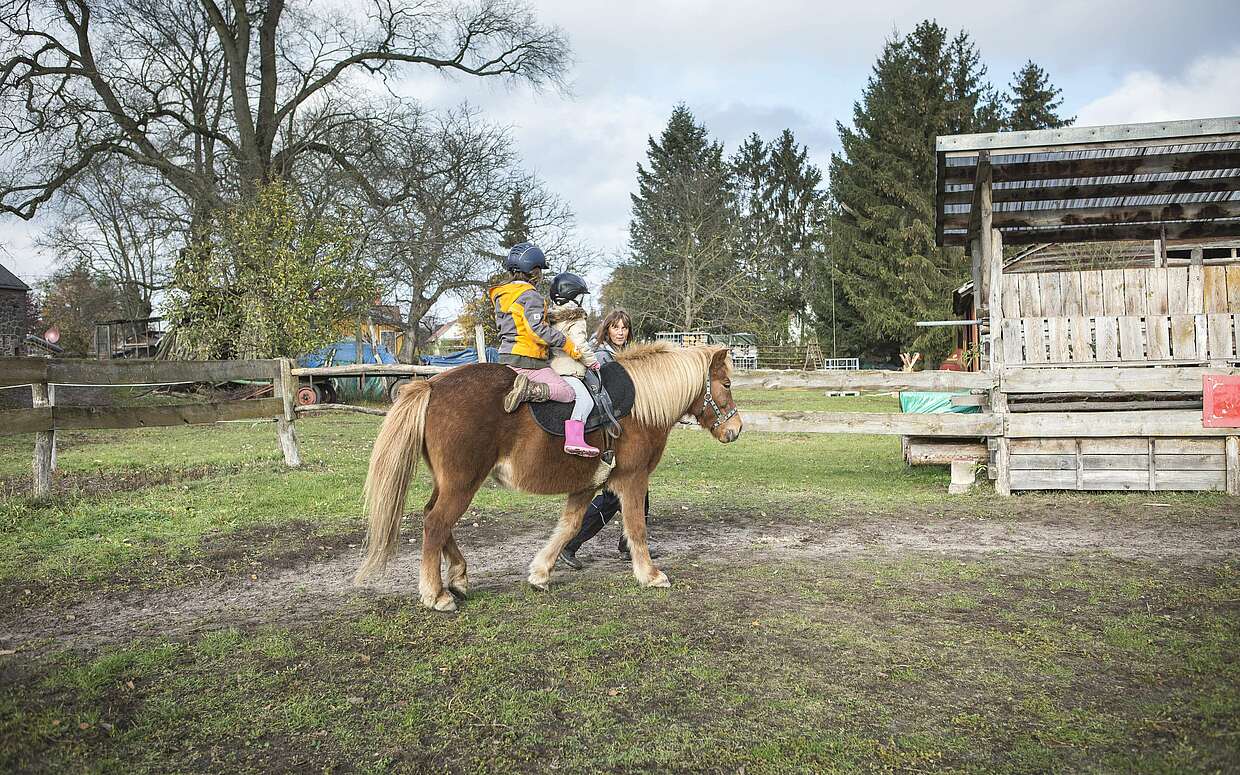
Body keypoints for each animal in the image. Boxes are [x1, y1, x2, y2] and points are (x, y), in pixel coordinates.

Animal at [354, 342, 739, 610]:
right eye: (727, 383)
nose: (735, 429)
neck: (638, 407)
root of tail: (432, 386)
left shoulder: (587, 484)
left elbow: (569, 526)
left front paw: (540, 573)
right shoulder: (632, 479)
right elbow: (636, 527)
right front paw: (650, 574)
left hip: (451, 483)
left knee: (433, 519)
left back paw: (459, 577)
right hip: (462, 483)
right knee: (436, 523)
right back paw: (437, 594)